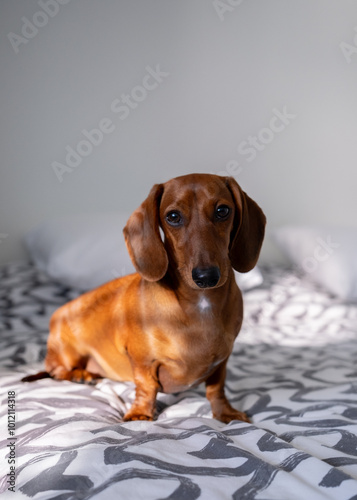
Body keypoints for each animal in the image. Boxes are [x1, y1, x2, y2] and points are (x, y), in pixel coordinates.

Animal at [23, 174, 264, 424]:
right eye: (173, 216)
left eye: (222, 210)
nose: (206, 277)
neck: (199, 304)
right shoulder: (143, 360)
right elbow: (146, 386)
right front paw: (140, 414)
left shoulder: (221, 362)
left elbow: (217, 389)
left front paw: (226, 413)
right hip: (67, 353)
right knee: (56, 371)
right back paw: (81, 374)